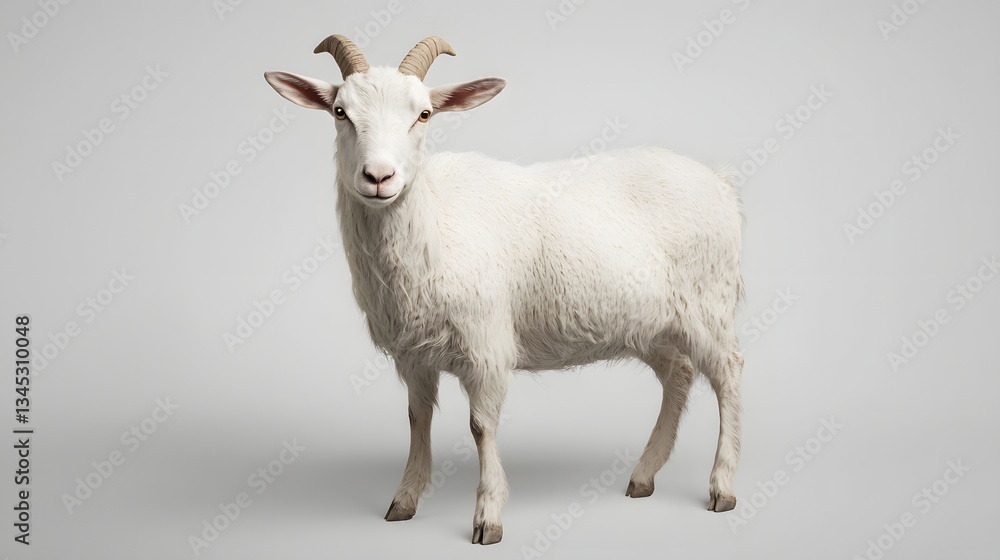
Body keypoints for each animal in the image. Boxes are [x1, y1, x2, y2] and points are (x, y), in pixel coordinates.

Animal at [265, 35, 744, 545]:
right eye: (340, 112)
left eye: (424, 114)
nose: (378, 177)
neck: (436, 226)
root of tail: (720, 183)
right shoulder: (414, 354)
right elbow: (418, 419)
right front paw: (404, 500)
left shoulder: (487, 344)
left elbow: (480, 426)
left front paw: (488, 516)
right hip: (651, 322)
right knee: (678, 373)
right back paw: (644, 475)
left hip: (709, 303)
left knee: (728, 372)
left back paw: (721, 487)